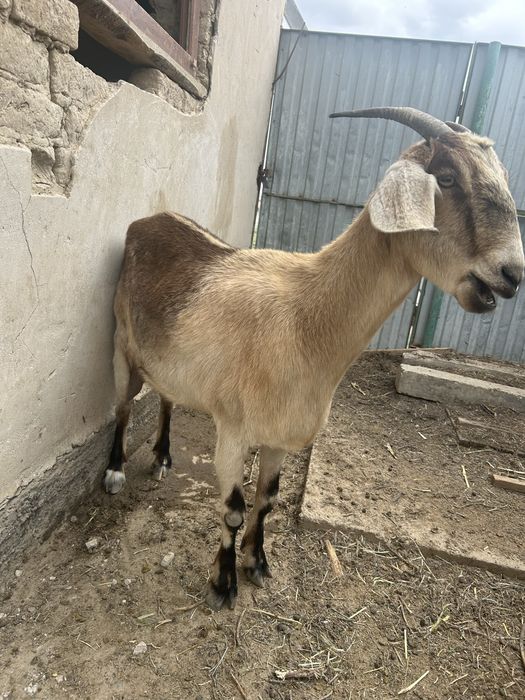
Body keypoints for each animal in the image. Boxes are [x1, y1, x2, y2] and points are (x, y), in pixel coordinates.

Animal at [104, 107, 524, 611]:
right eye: (447, 177)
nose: (512, 274)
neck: (304, 319)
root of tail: (147, 219)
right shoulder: (233, 431)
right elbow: (232, 510)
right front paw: (223, 585)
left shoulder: (280, 436)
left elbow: (267, 499)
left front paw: (257, 564)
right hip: (121, 343)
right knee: (122, 405)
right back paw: (114, 471)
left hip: (171, 361)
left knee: (167, 396)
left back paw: (164, 455)